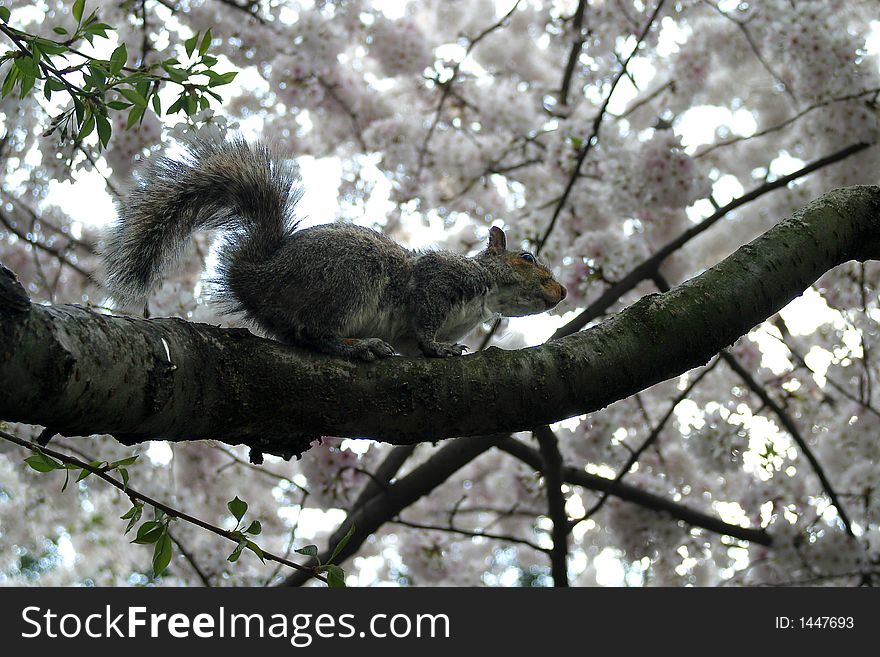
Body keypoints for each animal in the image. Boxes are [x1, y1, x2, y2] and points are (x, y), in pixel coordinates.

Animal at [103, 137, 568, 358]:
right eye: (527, 258)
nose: (562, 291)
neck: (485, 293)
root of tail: (258, 277)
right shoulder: (437, 284)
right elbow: (424, 321)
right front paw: (440, 348)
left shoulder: (412, 334)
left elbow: (413, 342)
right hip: (349, 281)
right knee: (316, 331)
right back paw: (358, 347)